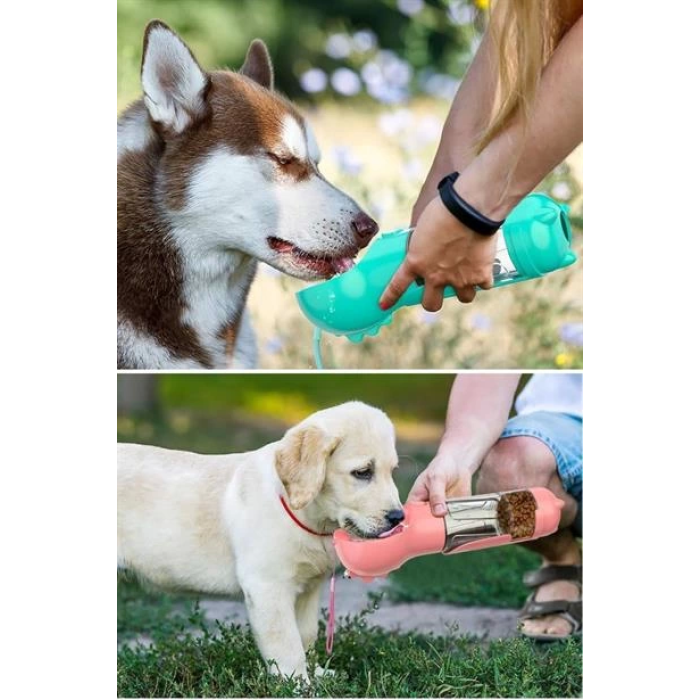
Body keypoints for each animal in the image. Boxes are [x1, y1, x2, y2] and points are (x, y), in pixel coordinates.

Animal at [117, 402, 402, 680]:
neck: (306, 515)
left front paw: (317, 674)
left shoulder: (308, 589)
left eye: (392, 472)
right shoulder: (268, 586)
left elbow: (306, 635)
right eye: (363, 472)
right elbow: (287, 645)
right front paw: (298, 684)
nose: (399, 517)